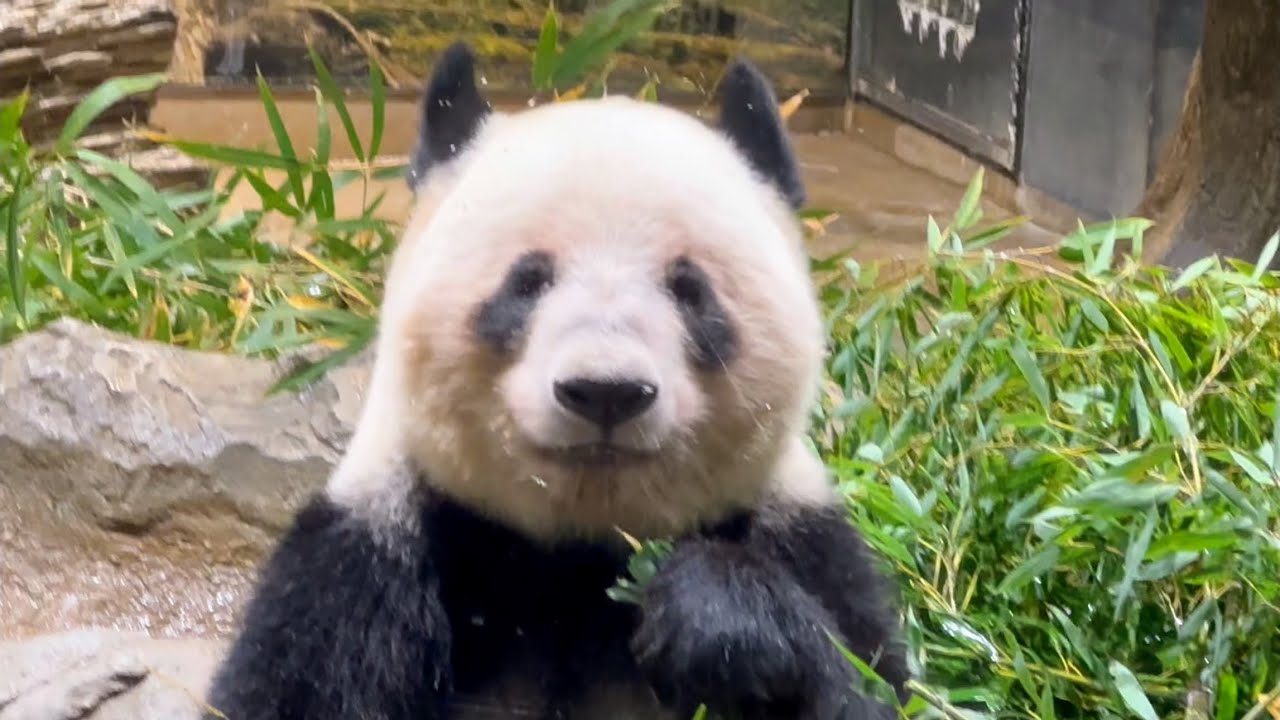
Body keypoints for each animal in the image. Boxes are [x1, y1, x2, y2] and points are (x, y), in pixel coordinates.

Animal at [204, 41, 910, 720]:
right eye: (527, 281)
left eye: (690, 290)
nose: (606, 391)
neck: (578, 560)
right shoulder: (365, 562)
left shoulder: (806, 542)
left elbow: (870, 689)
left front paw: (719, 617)